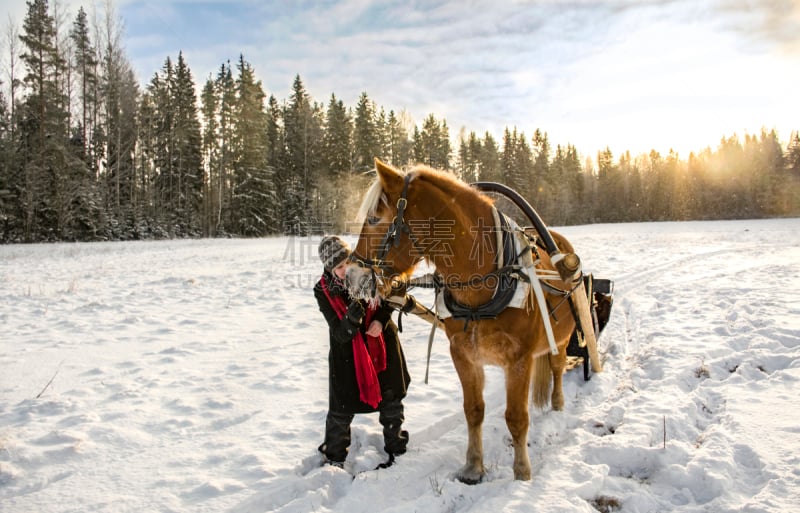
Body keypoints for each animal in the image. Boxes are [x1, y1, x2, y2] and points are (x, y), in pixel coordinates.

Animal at [346, 159, 584, 480]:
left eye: (373, 218)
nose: (351, 275)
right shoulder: (463, 354)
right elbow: (473, 410)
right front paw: (473, 467)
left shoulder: (519, 359)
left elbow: (516, 417)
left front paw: (521, 472)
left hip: (561, 336)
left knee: (558, 367)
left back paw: (557, 404)